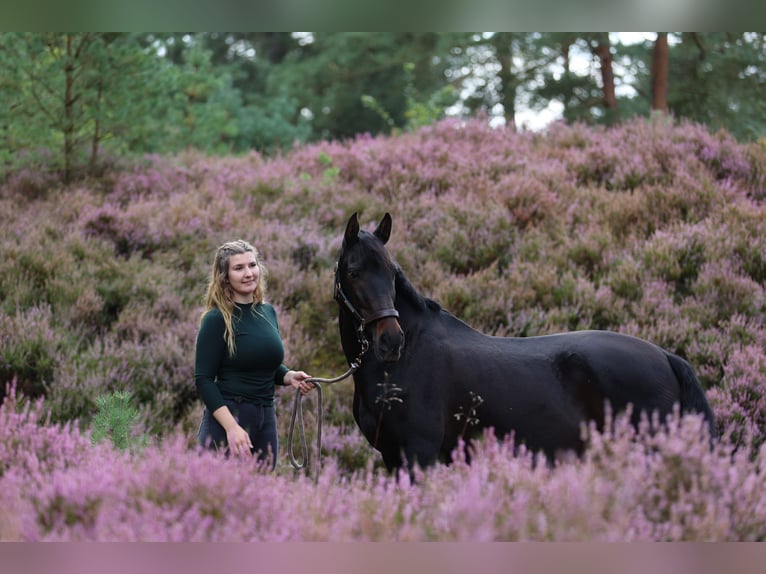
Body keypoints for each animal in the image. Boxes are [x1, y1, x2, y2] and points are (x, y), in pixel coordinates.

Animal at [336, 214, 720, 474]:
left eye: (391, 272)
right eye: (354, 272)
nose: (390, 341)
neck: (406, 361)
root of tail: (665, 356)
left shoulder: (419, 454)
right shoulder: (393, 456)